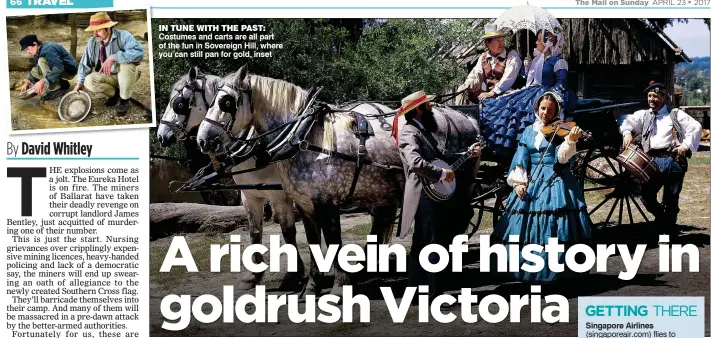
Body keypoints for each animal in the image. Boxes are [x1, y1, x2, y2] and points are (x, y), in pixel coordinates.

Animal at [159, 66, 306, 290]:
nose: (160, 135)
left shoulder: (280, 196)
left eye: (179, 104)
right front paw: (253, 275)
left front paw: (294, 275)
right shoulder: (250, 195)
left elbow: (288, 231)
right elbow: (255, 231)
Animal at [197, 64, 482, 298]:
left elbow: (333, 242)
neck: (304, 137)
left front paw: (339, 287)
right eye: (209, 102)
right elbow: (313, 243)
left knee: (458, 217)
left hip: (459, 187)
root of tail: (467, 118)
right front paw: (312, 286)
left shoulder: (327, 203)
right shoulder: (304, 205)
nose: (203, 140)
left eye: (226, 102)